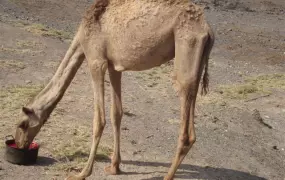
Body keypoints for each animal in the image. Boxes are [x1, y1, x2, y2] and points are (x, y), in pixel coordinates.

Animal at [13, 0, 213, 179]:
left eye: (22, 124)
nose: (19, 144)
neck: (82, 34)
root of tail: (208, 31)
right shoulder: (114, 67)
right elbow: (116, 113)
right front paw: (114, 167)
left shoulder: (96, 61)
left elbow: (99, 119)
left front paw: (82, 173)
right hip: (195, 65)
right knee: (191, 103)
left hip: (186, 46)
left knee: (184, 116)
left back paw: (167, 176)